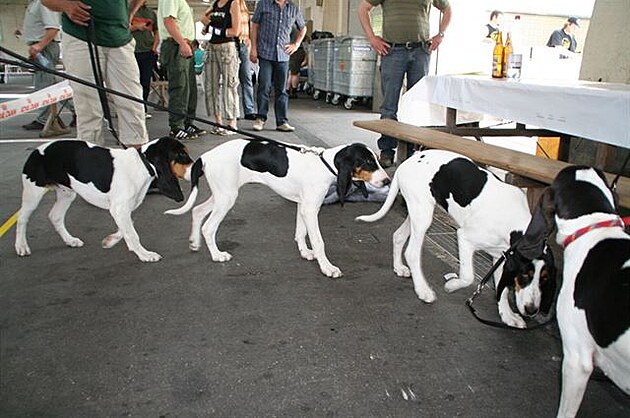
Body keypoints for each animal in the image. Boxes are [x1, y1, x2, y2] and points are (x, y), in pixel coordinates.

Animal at [14, 137, 193, 262]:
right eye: (181, 154)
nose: (196, 168)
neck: (142, 164)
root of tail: (36, 151)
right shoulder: (119, 209)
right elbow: (132, 233)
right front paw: (145, 254)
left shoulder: (124, 209)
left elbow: (127, 228)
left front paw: (109, 241)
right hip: (33, 193)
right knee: (22, 218)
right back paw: (21, 246)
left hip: (67, 193)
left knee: (55, 216)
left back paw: (70, 240)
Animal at [164, 139, 390, 280]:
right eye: (368, 162)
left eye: (377, 160)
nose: (388, 181)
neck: (323, 165)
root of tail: (206, 156)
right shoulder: (311, 209)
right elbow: (319, 241)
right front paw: (327, 267)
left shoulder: (303, 206)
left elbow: (300, 233)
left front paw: (305, 253)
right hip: (226, 198)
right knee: (209, 227)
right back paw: (217, 255)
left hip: (222, 194)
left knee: (197, 211)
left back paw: (194, 242)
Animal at [358, 149, 556, 328]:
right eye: (525, 274)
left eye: (545, 279)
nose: (532, 310)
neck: (514, 224)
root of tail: (406, 163)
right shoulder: (464, 238)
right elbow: (468, 277)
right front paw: (452, 285)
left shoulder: (502, 256)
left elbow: (503, 290)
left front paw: (507, 315)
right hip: (423, 217)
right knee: (412, 253)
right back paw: (423, 291)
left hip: (417, 213)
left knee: (398, 236)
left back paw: (399, 268)